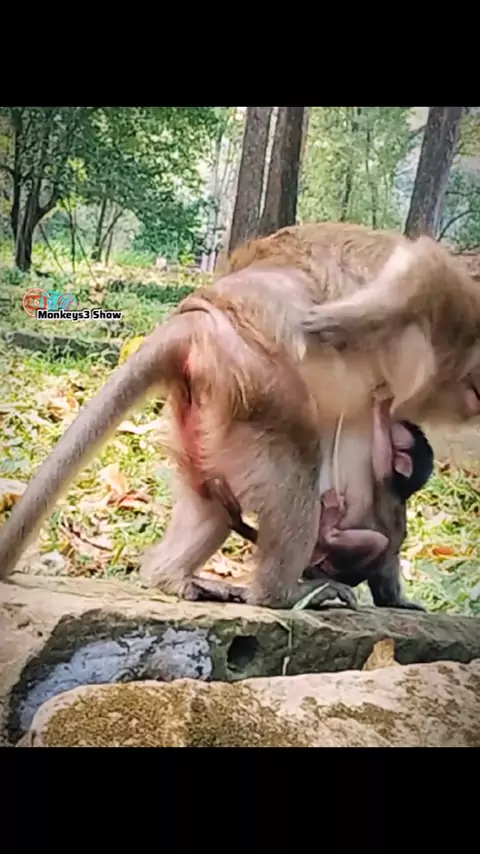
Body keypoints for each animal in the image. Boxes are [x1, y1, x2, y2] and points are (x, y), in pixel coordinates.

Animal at [0, 221, 479, 611]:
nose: (472, 400)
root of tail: (199, 316)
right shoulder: (455, 304)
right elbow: (420, 269)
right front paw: (336, 320)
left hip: (209, 411)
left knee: (211, 500)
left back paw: (173, 576)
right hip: (257, 380)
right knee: (298, 462)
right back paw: (283, 594)